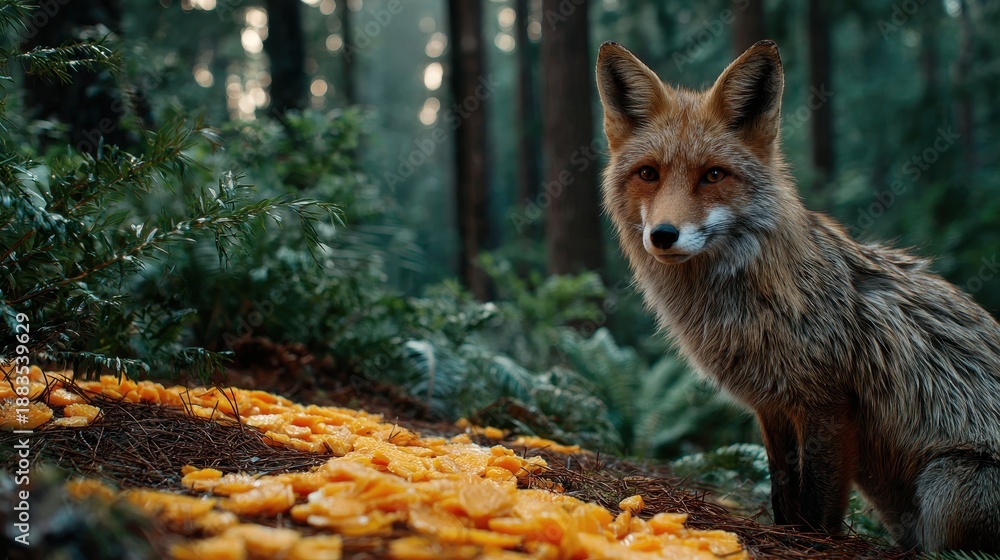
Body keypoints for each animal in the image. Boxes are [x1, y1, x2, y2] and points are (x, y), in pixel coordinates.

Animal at [595, 40, 1000, 552]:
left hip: (945, 488)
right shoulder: (770, 405)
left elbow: (816, 505)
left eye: (713, 175)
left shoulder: (829, 404)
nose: (663, 235)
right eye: (649, 173)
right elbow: (783, 493)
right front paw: (784, 533)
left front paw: (814, 545)